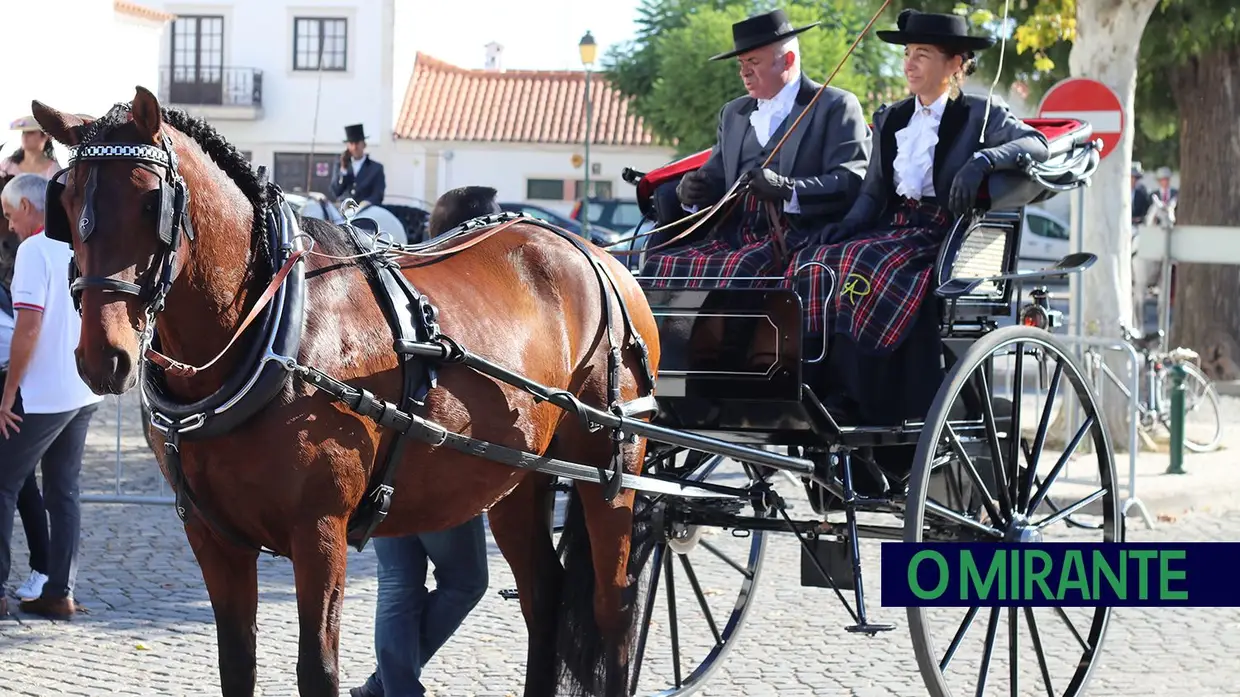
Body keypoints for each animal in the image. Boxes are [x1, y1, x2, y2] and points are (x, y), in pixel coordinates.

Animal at [33, 88, 664, 694]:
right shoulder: (212, 535)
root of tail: (598, 255)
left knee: (614, 609)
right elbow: (236, 664)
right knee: (545, 597)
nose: (104, 357)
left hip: (610, 473)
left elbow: (317, 669)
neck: (271, 332)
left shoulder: (319, 533)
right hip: (516, 478)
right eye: (66, 205)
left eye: (151, 203)